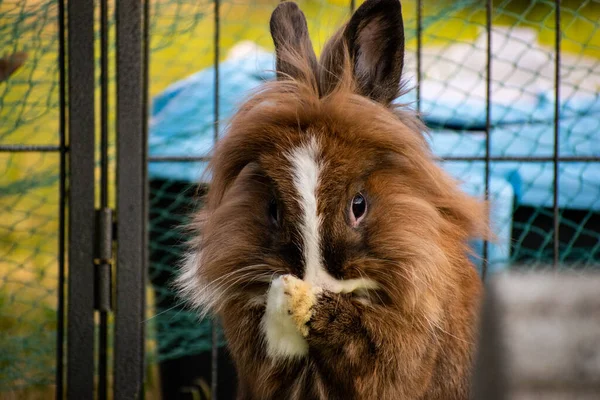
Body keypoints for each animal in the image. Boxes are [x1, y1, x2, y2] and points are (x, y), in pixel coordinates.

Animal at [177, 0, 488, 398]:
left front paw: (316, 310)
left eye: (359, 205)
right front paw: (284, 302)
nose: (314, 282)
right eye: (273, 209)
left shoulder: (402, 355)